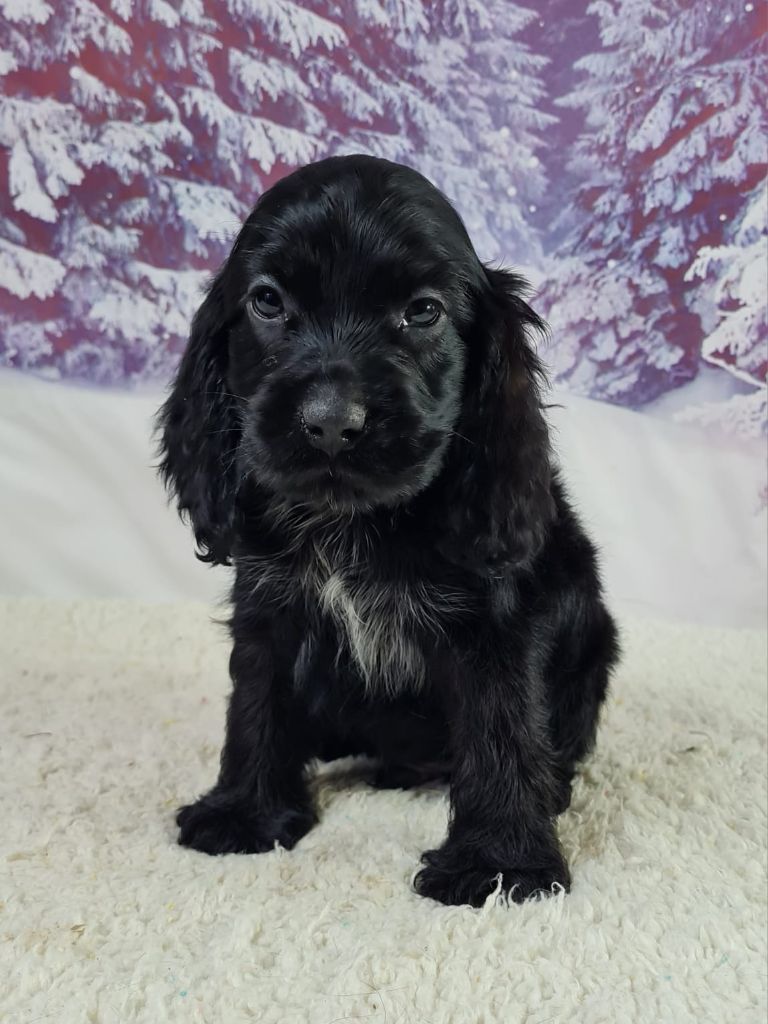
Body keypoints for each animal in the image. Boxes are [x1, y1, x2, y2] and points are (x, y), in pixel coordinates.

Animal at [158, 154, 619, 907]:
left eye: (423, 310)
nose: (329, 421)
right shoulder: (270, 604)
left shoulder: (497, 621)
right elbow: (256, 699)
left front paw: (499, 863)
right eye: (267, 302)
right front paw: (244, 811)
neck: (357, 520)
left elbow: (501, 728)